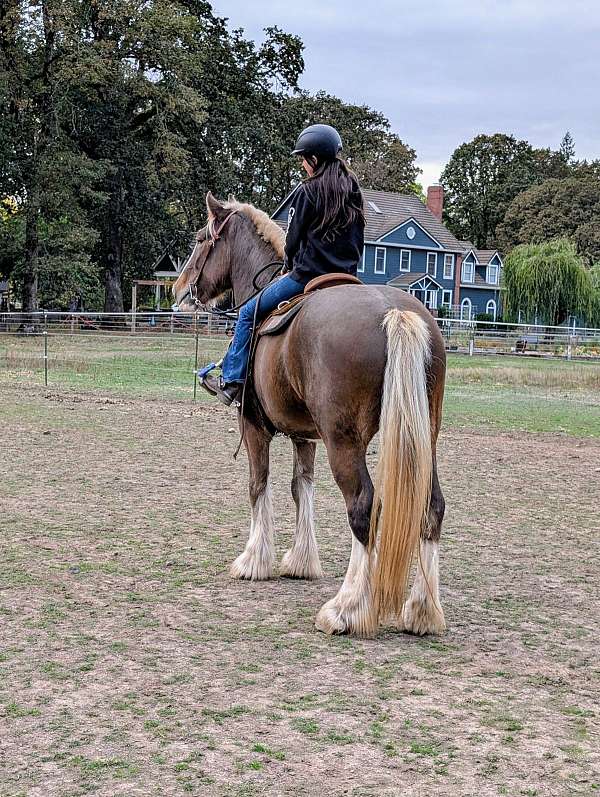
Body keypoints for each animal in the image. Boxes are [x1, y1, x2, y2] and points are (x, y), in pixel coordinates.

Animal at [173, 192, 447, 637]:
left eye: (200, 239)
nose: (178, 289)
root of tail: (393, 312)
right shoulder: (305, 435)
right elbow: (301, 488)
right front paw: (301, 561)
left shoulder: (254, 427)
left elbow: (258, 485)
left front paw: (253, 560)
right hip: (426, 438)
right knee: (431, 507)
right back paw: (422, 610)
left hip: (344, 442)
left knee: (363, 507)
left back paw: (346, 608)